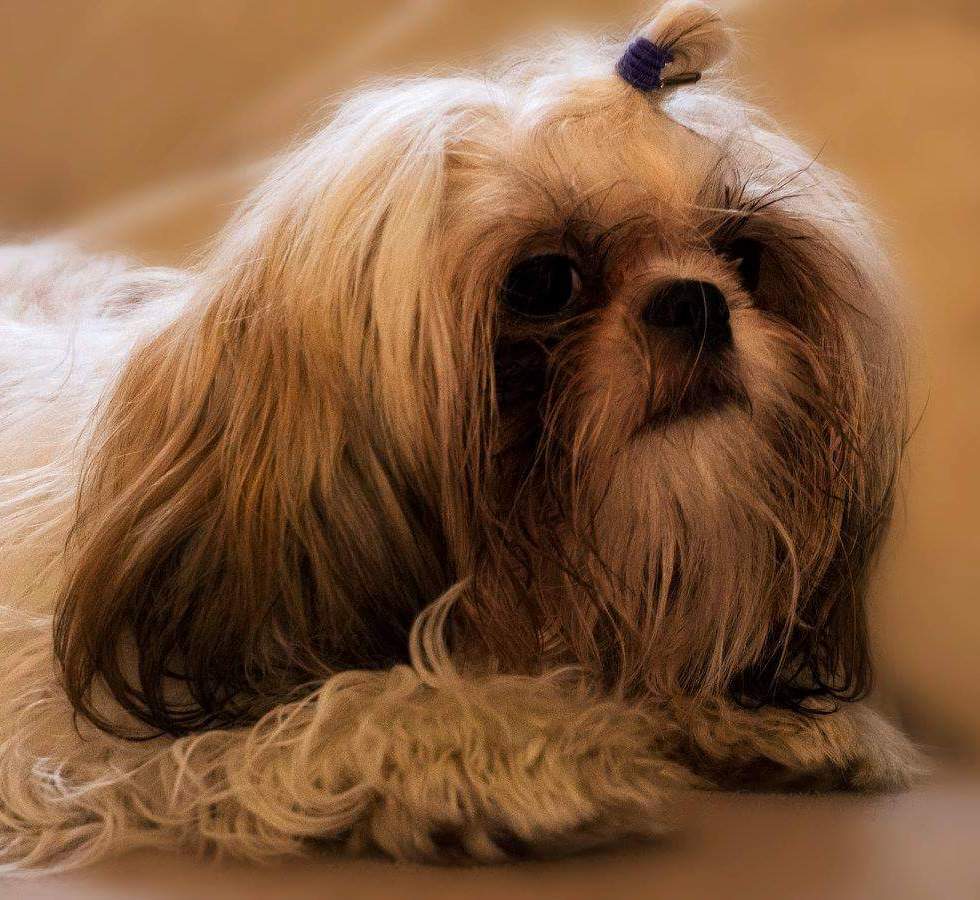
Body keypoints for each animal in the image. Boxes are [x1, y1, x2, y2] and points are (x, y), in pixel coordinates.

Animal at [0, 0, 923, 870]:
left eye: (745, 257)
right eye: (542, 281)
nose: (696, 301)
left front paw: (750, 714)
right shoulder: (75, 723)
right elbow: (310, 711)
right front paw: (499, 746)